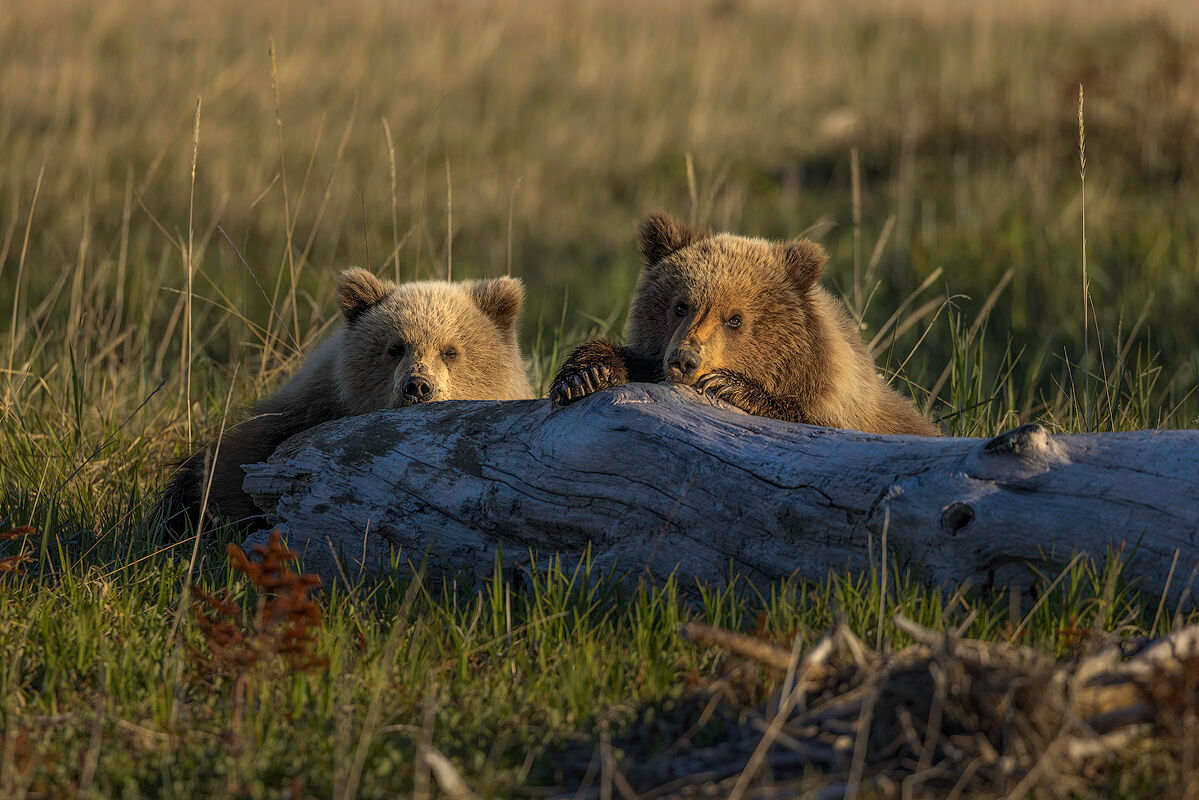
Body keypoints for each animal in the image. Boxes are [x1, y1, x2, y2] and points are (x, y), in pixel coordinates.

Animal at [550, 213, 938, 436]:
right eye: (680, 306)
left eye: (735, 319)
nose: (684, 360)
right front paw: (586, 374)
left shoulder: (840, 413)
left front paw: (728, 385)